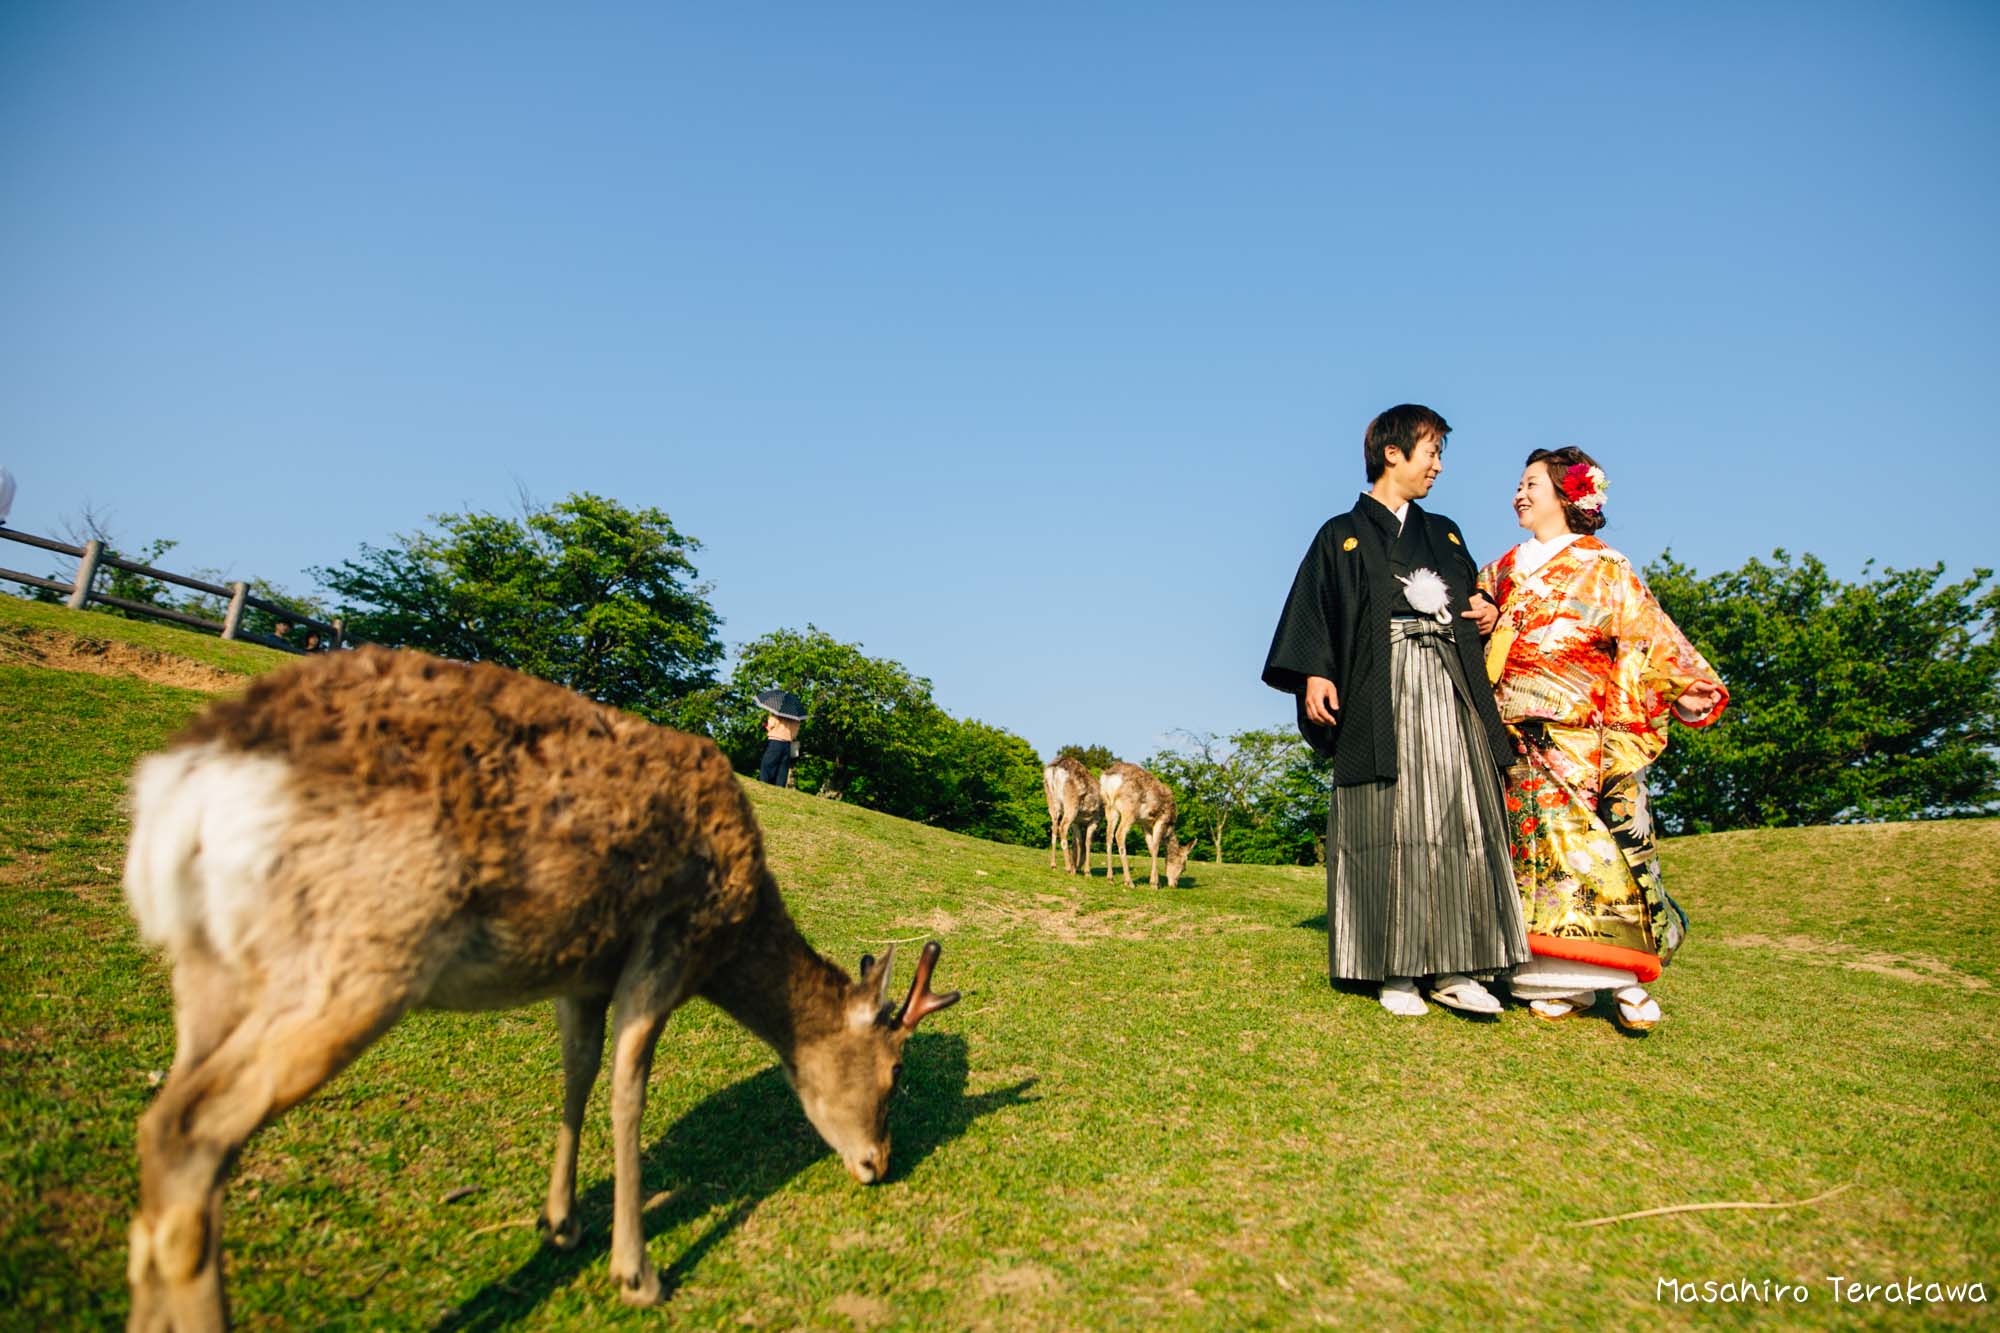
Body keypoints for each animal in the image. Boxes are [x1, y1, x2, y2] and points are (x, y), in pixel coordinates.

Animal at [117, 644, 960, 1328]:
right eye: (895, 1071)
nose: (879, 1163)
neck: (736, 929)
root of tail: (185, 782)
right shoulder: (667, 947)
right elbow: (628, 1090)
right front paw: (637, 1271)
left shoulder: (580, 973)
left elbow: (576, 1073)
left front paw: (560, 1222)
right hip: (359, 957)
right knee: (191, 1132)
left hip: (210, 972)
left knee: (159, 1134)